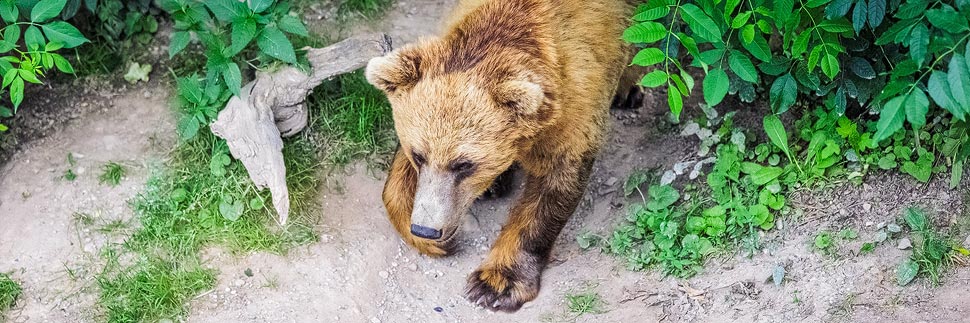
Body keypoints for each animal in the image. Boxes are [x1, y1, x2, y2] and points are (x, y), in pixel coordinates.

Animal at [364, 0, 636, 312]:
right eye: (418, 155)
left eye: (464, 164)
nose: (426, 229)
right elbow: (397, 182)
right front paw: (433, 240)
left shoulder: (576, 98)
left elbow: (552, 186)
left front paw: (496, 283)